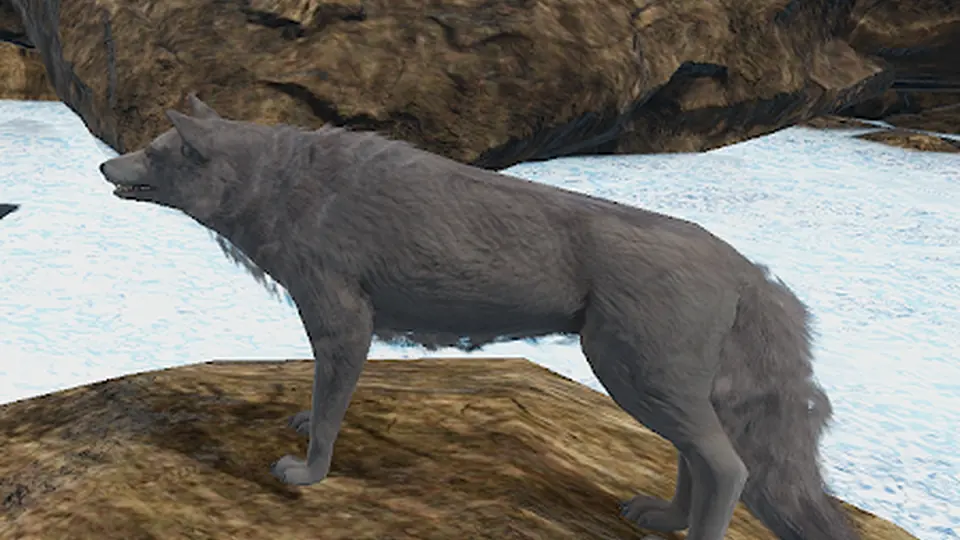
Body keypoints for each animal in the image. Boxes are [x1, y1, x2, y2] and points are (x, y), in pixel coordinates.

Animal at [99, 94, 859, 540]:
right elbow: (319, 404)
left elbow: (329, 418)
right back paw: (663, 518)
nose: (105, 166)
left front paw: (307, 473)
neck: (284, 188)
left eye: (157, 152)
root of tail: (740, 264)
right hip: (654, 385)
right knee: (698, 460)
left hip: (632, 377)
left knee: (727, 468)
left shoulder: (345, 325)